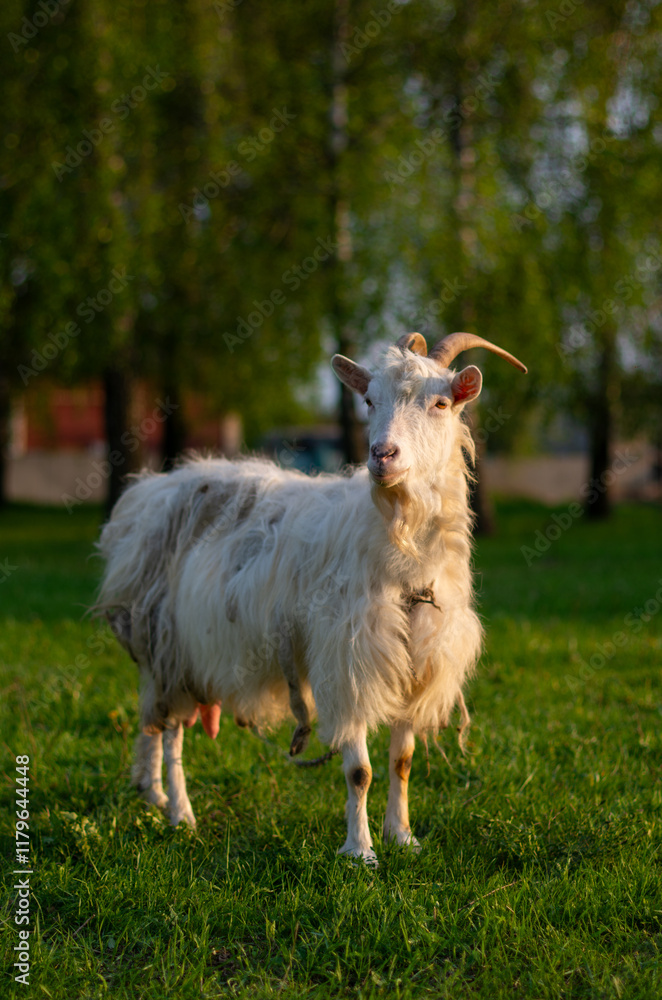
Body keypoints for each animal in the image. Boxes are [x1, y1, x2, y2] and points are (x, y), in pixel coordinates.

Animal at [96, 331, 526, 862]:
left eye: (441, 402)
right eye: (369, 400)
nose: (383, 455)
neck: (402, 552)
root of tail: (145, 495)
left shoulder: (417, 663)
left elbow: (402, 761)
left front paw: (403, 837)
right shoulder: (347, 659)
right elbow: (359, 771)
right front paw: (360, 851)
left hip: (162, 651)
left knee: (152, 722)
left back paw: (150, 791)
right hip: (173, 642)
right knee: (173, 731)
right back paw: (181, 813)